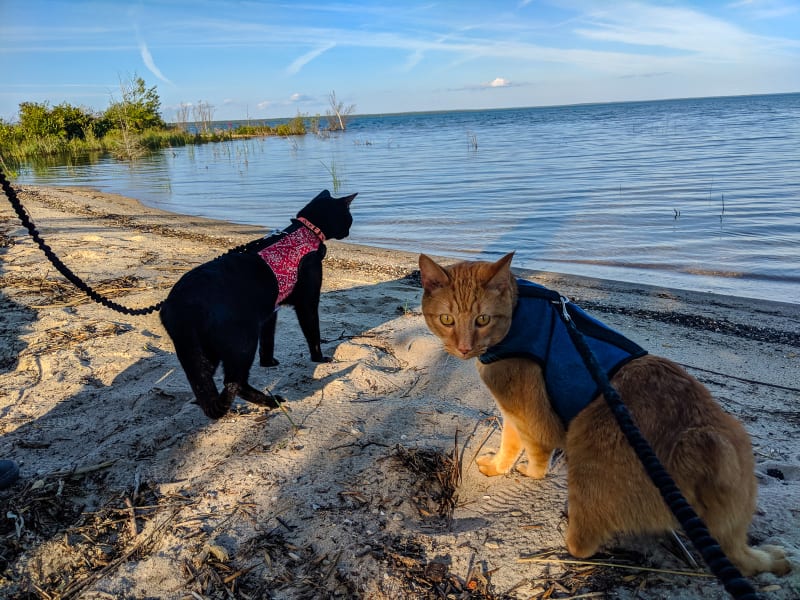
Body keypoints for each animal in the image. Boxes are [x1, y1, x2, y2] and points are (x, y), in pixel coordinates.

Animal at [159, 190, 356, 420]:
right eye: (349, 218)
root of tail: (179, 306)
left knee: (204, 384)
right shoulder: (307, 303)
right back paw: (270, 401)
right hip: (243, 340)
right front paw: (320, 358)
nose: (349, 231)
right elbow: (313, 334)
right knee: (233, 381)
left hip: (201, 351)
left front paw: (268, 363)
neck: (306, 231)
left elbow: (268, 340)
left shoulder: (271, 312)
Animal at [418, 251, 788, 576]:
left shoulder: (524, 411)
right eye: (447, 319)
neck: (519, 312)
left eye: (482, 319)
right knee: (741, 556)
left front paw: (515, 470)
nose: (464, 347)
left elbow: (524, 448)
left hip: (585, 437)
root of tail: (698, 450)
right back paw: (774, 559)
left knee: (581, 544)